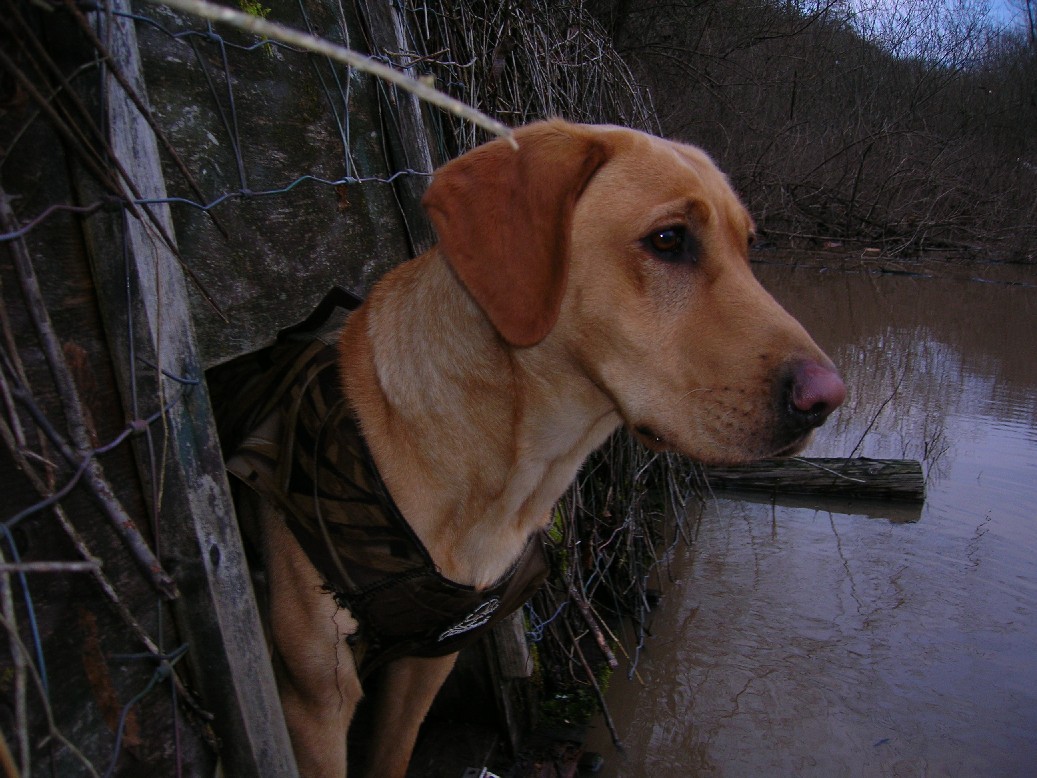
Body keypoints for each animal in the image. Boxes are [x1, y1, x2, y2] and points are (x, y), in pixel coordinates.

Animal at [225, 118, 842, 775]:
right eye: (669, 239)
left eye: (748, 247)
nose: (828, 400)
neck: (509, 470)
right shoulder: (316, 700)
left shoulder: (428, 664)